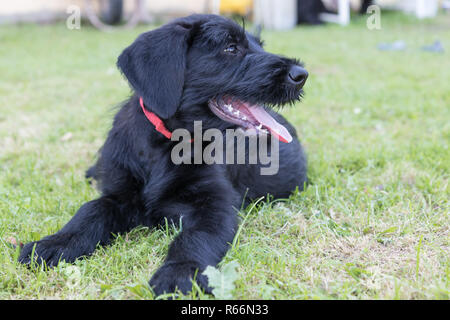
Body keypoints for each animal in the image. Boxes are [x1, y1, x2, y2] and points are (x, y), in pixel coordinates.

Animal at [16, 14, 306, 296]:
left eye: (260, 45)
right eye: (231, 48)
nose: (301, 73)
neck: (168, 144)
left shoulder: (215, 207)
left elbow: (194, 238)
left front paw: (179, 273)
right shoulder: (117, 196)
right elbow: (90, 210)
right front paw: (55, 243)